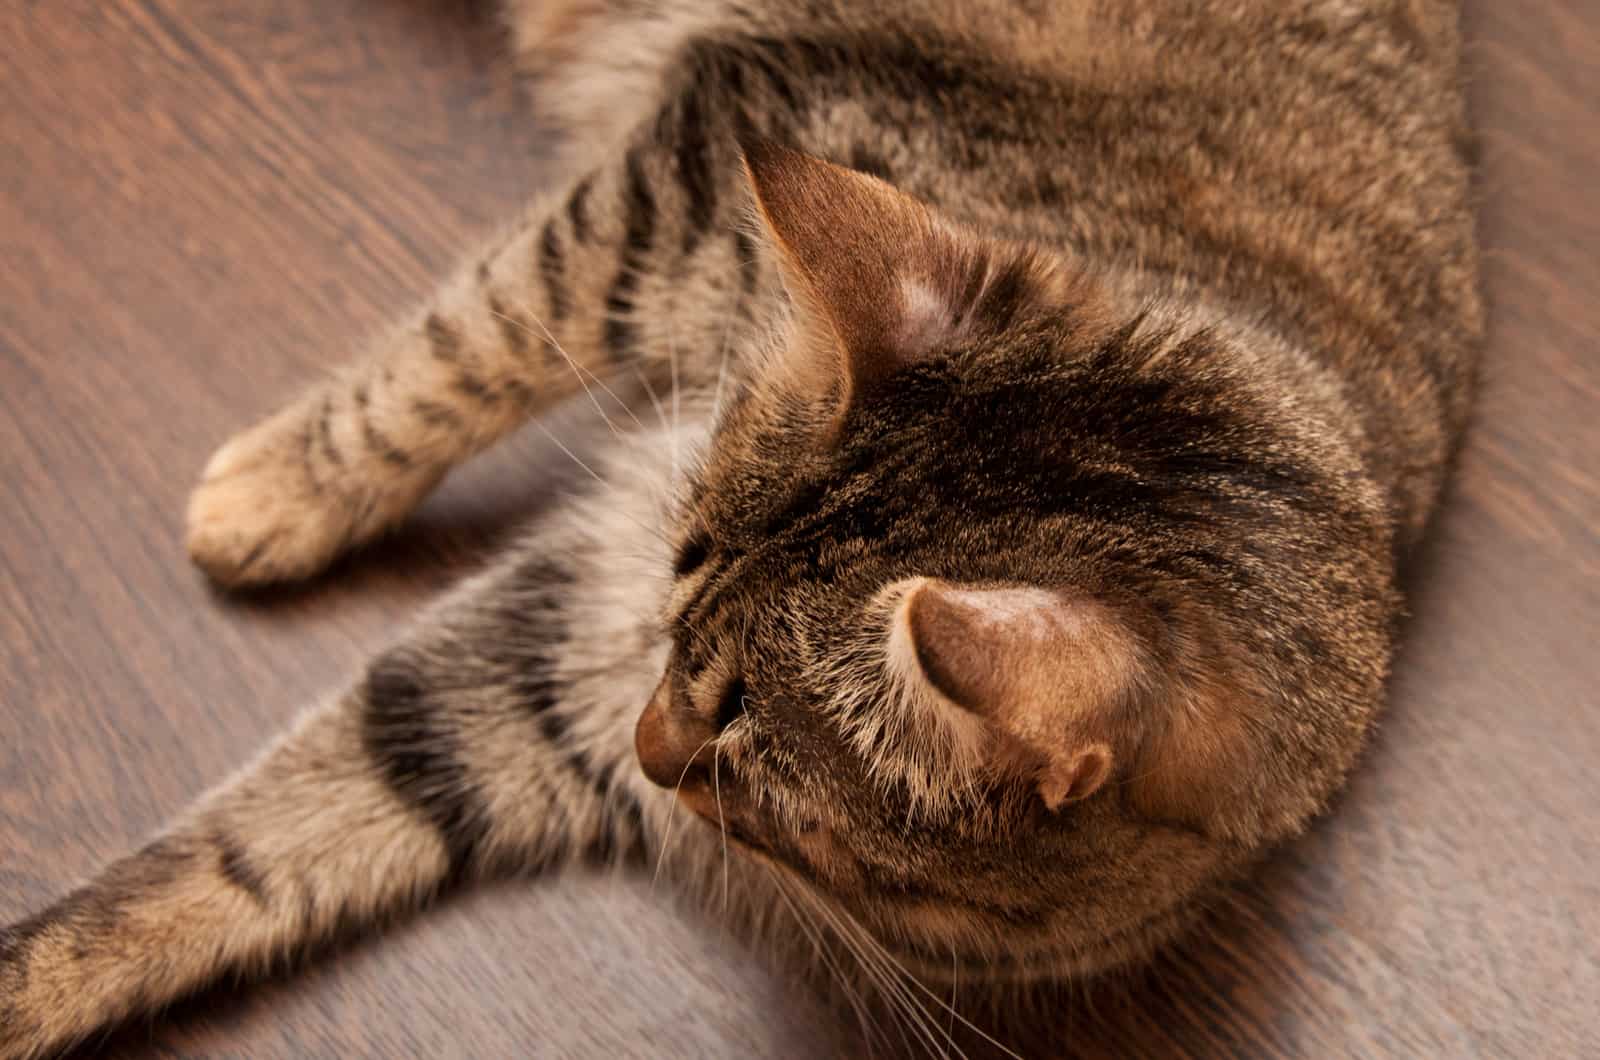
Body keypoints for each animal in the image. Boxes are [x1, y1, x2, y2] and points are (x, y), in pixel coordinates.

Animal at [0, 0, 1478, 1056]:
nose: (649, 751)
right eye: (676, 590)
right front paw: (276, 494)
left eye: (743, 756)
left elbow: (286, 833)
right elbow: (478, 333)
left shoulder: (563, 652)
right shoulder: (693, 165)